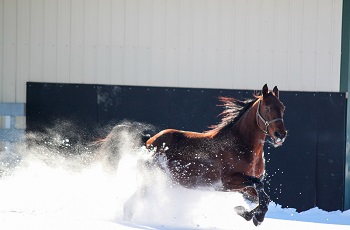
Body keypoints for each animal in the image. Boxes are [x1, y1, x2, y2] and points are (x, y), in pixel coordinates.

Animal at [141, 84, 286, 225]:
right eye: (267, 108)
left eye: (282, 108)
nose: (280, 134)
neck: (240, 144)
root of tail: (149, 141)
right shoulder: (229, 181)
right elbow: (259, 186)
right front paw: (254, 216)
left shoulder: (243, 186)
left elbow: (265, 198)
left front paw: (248, 214)